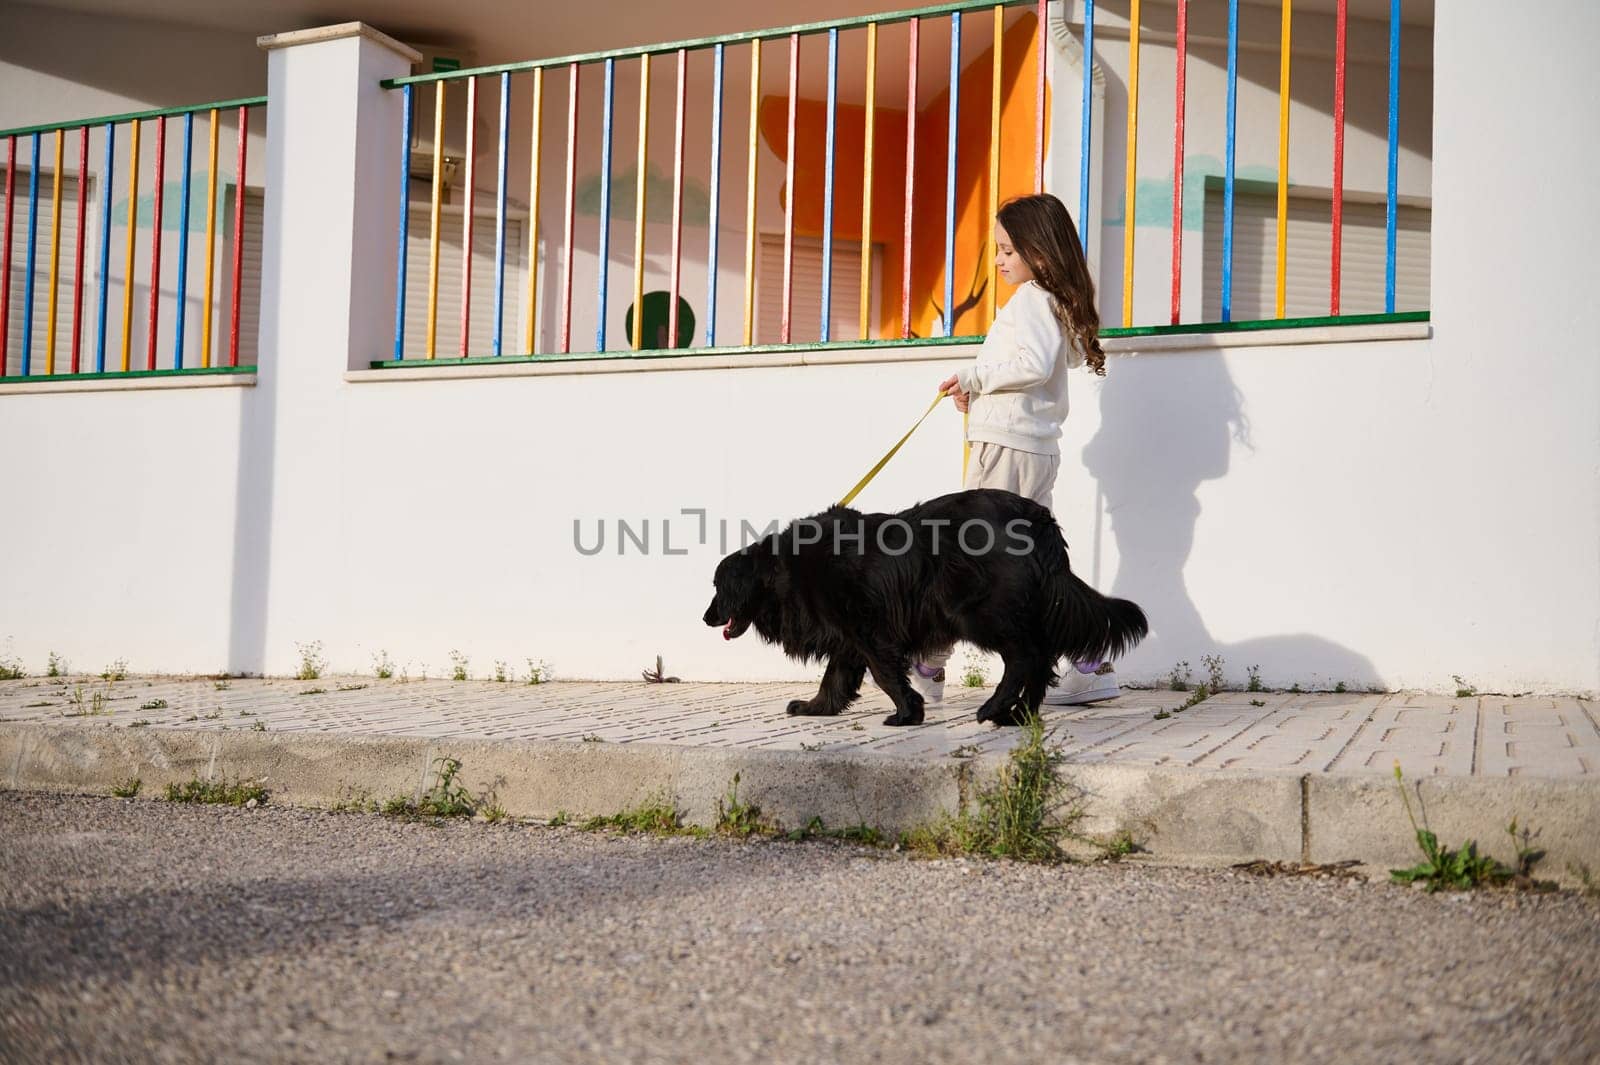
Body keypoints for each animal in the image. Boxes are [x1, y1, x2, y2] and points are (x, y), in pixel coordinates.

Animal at [707, 486, 1145, 722]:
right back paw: (1020, 715)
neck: (784, 568)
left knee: (1026, 657)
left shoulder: (868, 629)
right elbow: (835, 678)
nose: (706, 616)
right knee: (1040, 659)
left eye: (718, 587)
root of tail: (1038, 518)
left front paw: (907, 713)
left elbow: (884, 674)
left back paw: (995, 708)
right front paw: (815, 707)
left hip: (979, 612)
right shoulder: (849, 637)